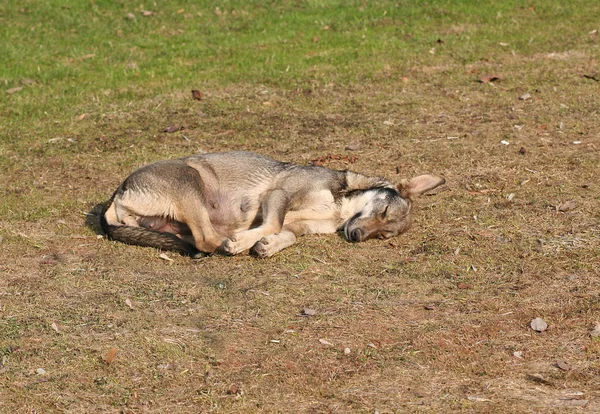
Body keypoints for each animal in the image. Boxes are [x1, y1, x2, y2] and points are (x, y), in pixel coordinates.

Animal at [99, 150, 446, 258]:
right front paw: (246, 241)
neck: (339, 210)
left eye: (384, 234)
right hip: (190, 179)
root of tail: (117, 194)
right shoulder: (277, 196)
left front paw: (268, 245)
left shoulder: (300, 225)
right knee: (207, 240)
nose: (356, 237)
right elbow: (274, 222)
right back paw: (231, 241)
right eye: (383, 212)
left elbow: (287, 233)